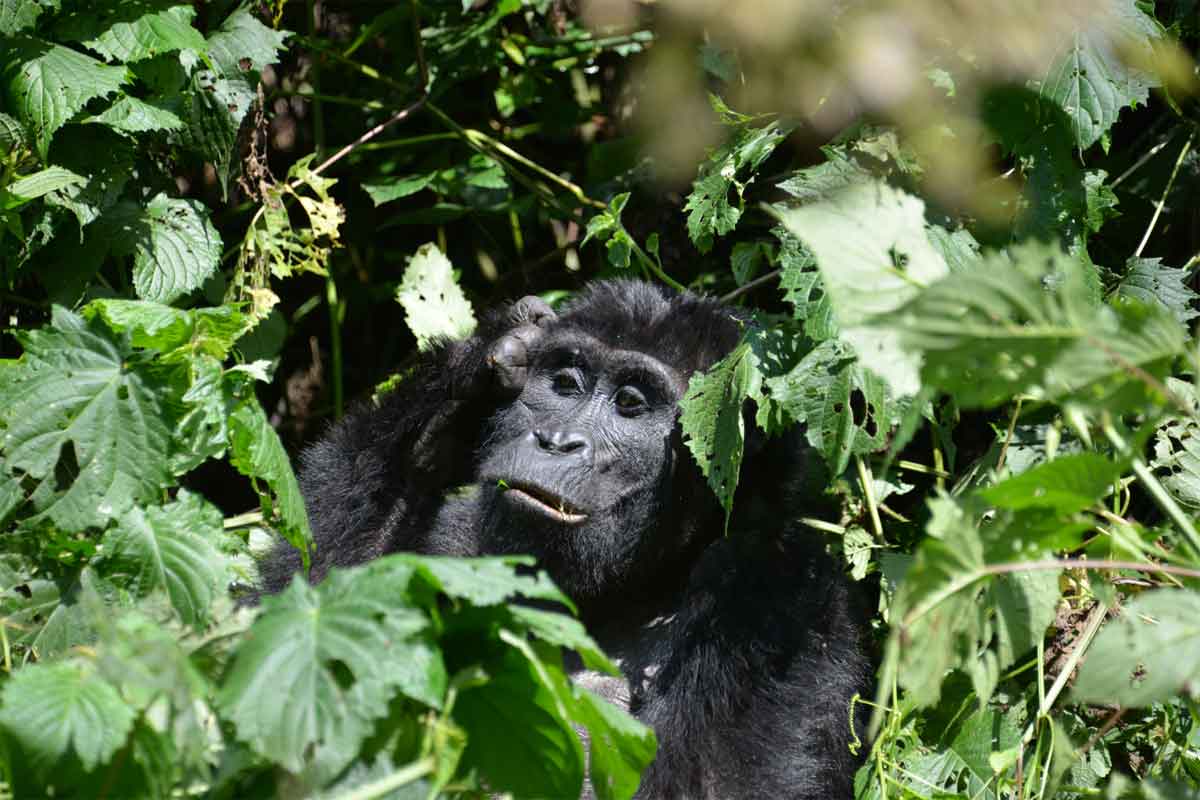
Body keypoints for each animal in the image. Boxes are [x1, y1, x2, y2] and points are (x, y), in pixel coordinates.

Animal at [260, 283, 873, 800]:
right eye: (564, 385)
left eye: (630, 405)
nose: (557, 440)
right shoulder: (461, 536)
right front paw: (471, 375)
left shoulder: (772, 597)